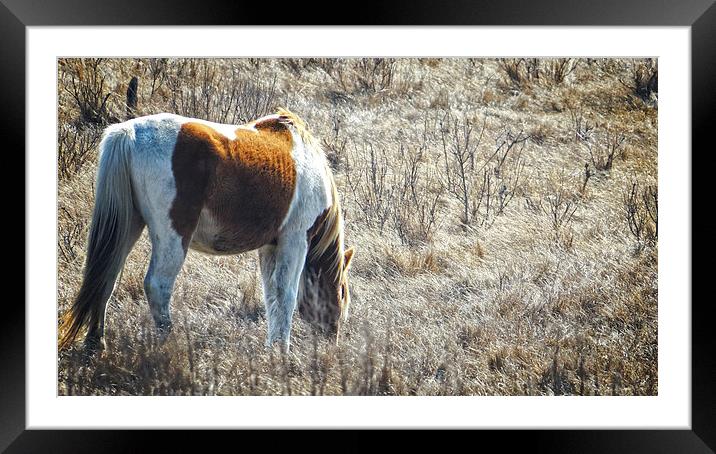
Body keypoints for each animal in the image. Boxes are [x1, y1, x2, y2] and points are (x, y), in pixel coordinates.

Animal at [57, 108, 354, 352]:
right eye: (341, 292)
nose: (332, 340)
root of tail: (128, 133)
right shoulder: (295, 241)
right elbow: (286, 296)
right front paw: (282, 353)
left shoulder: (271, 246)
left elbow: (271, 295)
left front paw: (273, 349)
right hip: (173, 236)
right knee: (157, 285)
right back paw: (170, 344)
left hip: (128, 225)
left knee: (105, 277)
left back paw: (96, 343)